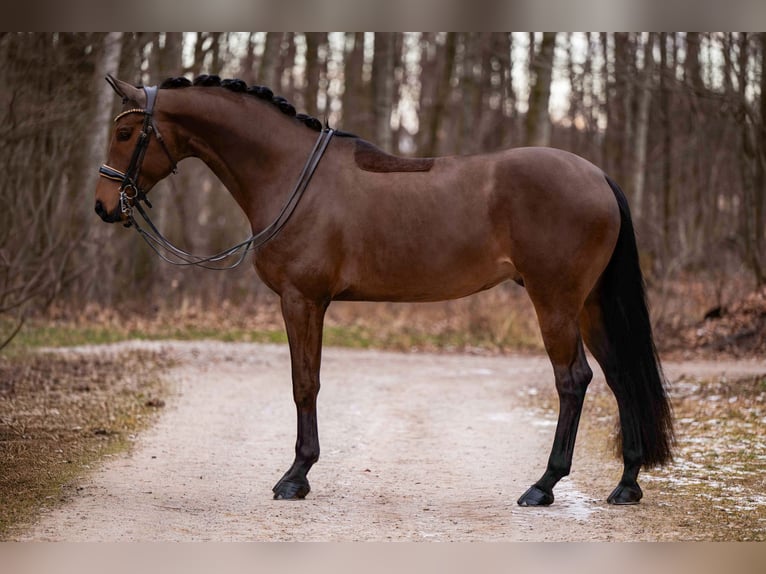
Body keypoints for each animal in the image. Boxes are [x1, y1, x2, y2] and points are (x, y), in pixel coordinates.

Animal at [94, 74, 674, 507]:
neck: (290, 174)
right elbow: (309, 382)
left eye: (125, 133)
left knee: (573, 380)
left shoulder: (301, 300)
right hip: (589, 303)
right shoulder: (310, 303)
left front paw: (296, 477)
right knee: (620, 376)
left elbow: (304, 384)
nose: (103, 205)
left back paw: (543, 485)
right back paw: (626, 485)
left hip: (554, 301)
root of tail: (598, 176)